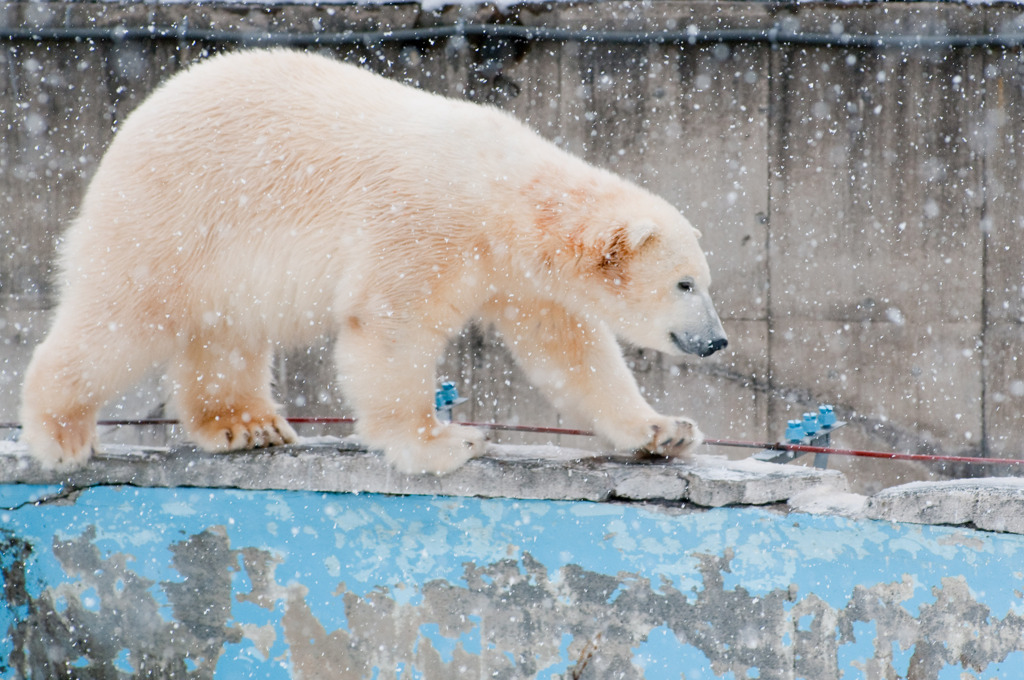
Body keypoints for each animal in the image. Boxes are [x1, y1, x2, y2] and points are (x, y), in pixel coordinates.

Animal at [18, 49, 729, 473]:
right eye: (684, 283)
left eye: (705, 281)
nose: (717, 340)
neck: (502, 196)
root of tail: (133, 123)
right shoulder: (425, 224)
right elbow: (393, 325)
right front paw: (446, 441)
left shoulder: (519, 275)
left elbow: (571, 349)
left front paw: (664, 430)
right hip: (173, 217)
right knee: (122, 319)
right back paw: (62, 436)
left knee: (226, 332)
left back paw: (248, 426)